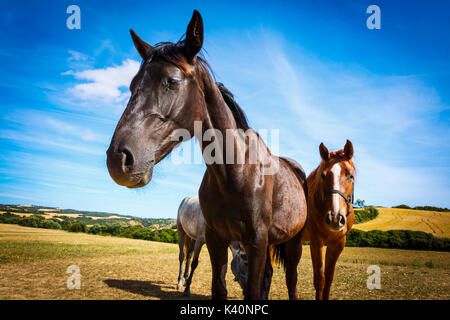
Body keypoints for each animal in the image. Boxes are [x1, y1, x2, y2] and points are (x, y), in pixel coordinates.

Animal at [107, 10, 308, 300]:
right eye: (133, 84)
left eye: (171, 82)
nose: (118, 159)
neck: (235, 172)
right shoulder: (216, 239)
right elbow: (219, 287)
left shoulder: (257, 242)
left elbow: (253, 290)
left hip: (293, 243)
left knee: (291, 280)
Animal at [302, 140, 356, 300]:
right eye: (323, 175)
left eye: (351, 175)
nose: (335, 218)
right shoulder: (316, 241)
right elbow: (320, 279)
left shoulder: (338, 243)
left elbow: (329, 279)